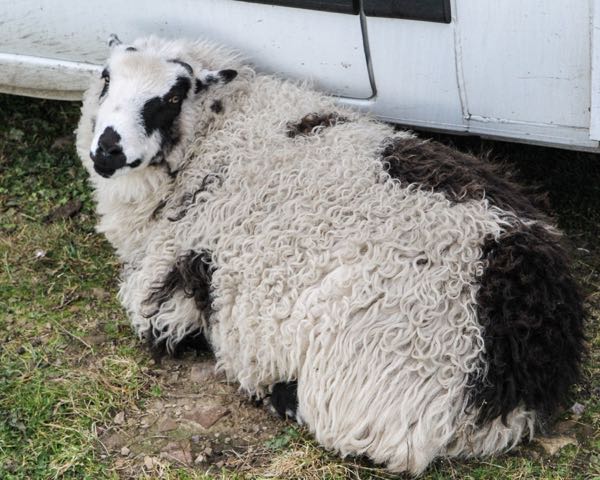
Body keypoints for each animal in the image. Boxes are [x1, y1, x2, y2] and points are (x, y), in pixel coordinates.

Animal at [76, 35, 585, 474]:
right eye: (106, 78)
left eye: (171, 97)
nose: (107, 149)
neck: (225, 134)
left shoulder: (164, 275)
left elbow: (158, 321)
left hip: (379, 367)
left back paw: (278, 392)